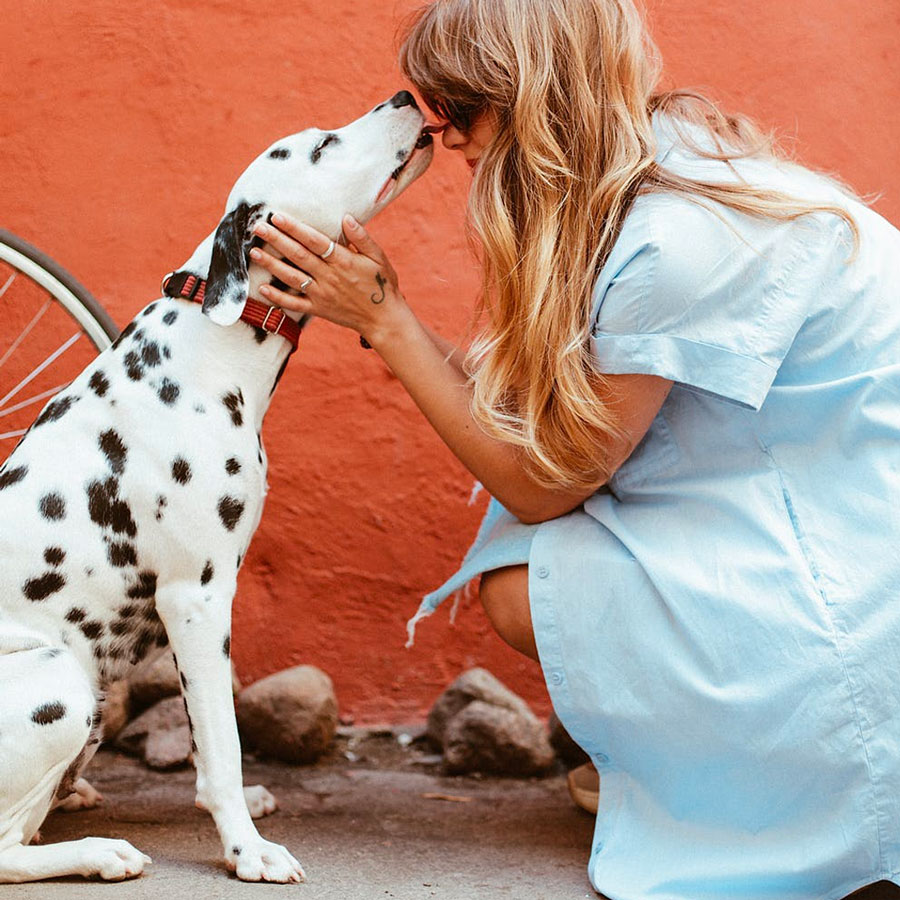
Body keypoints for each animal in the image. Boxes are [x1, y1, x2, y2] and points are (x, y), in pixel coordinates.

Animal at [0, 93, 436, 884]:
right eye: (322, 146)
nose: (404, 97)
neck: (206, 346)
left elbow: (213, 739)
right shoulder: (195, 598)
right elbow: (224, 743)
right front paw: (247, 850)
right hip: (60, 682)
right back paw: (98, 851)